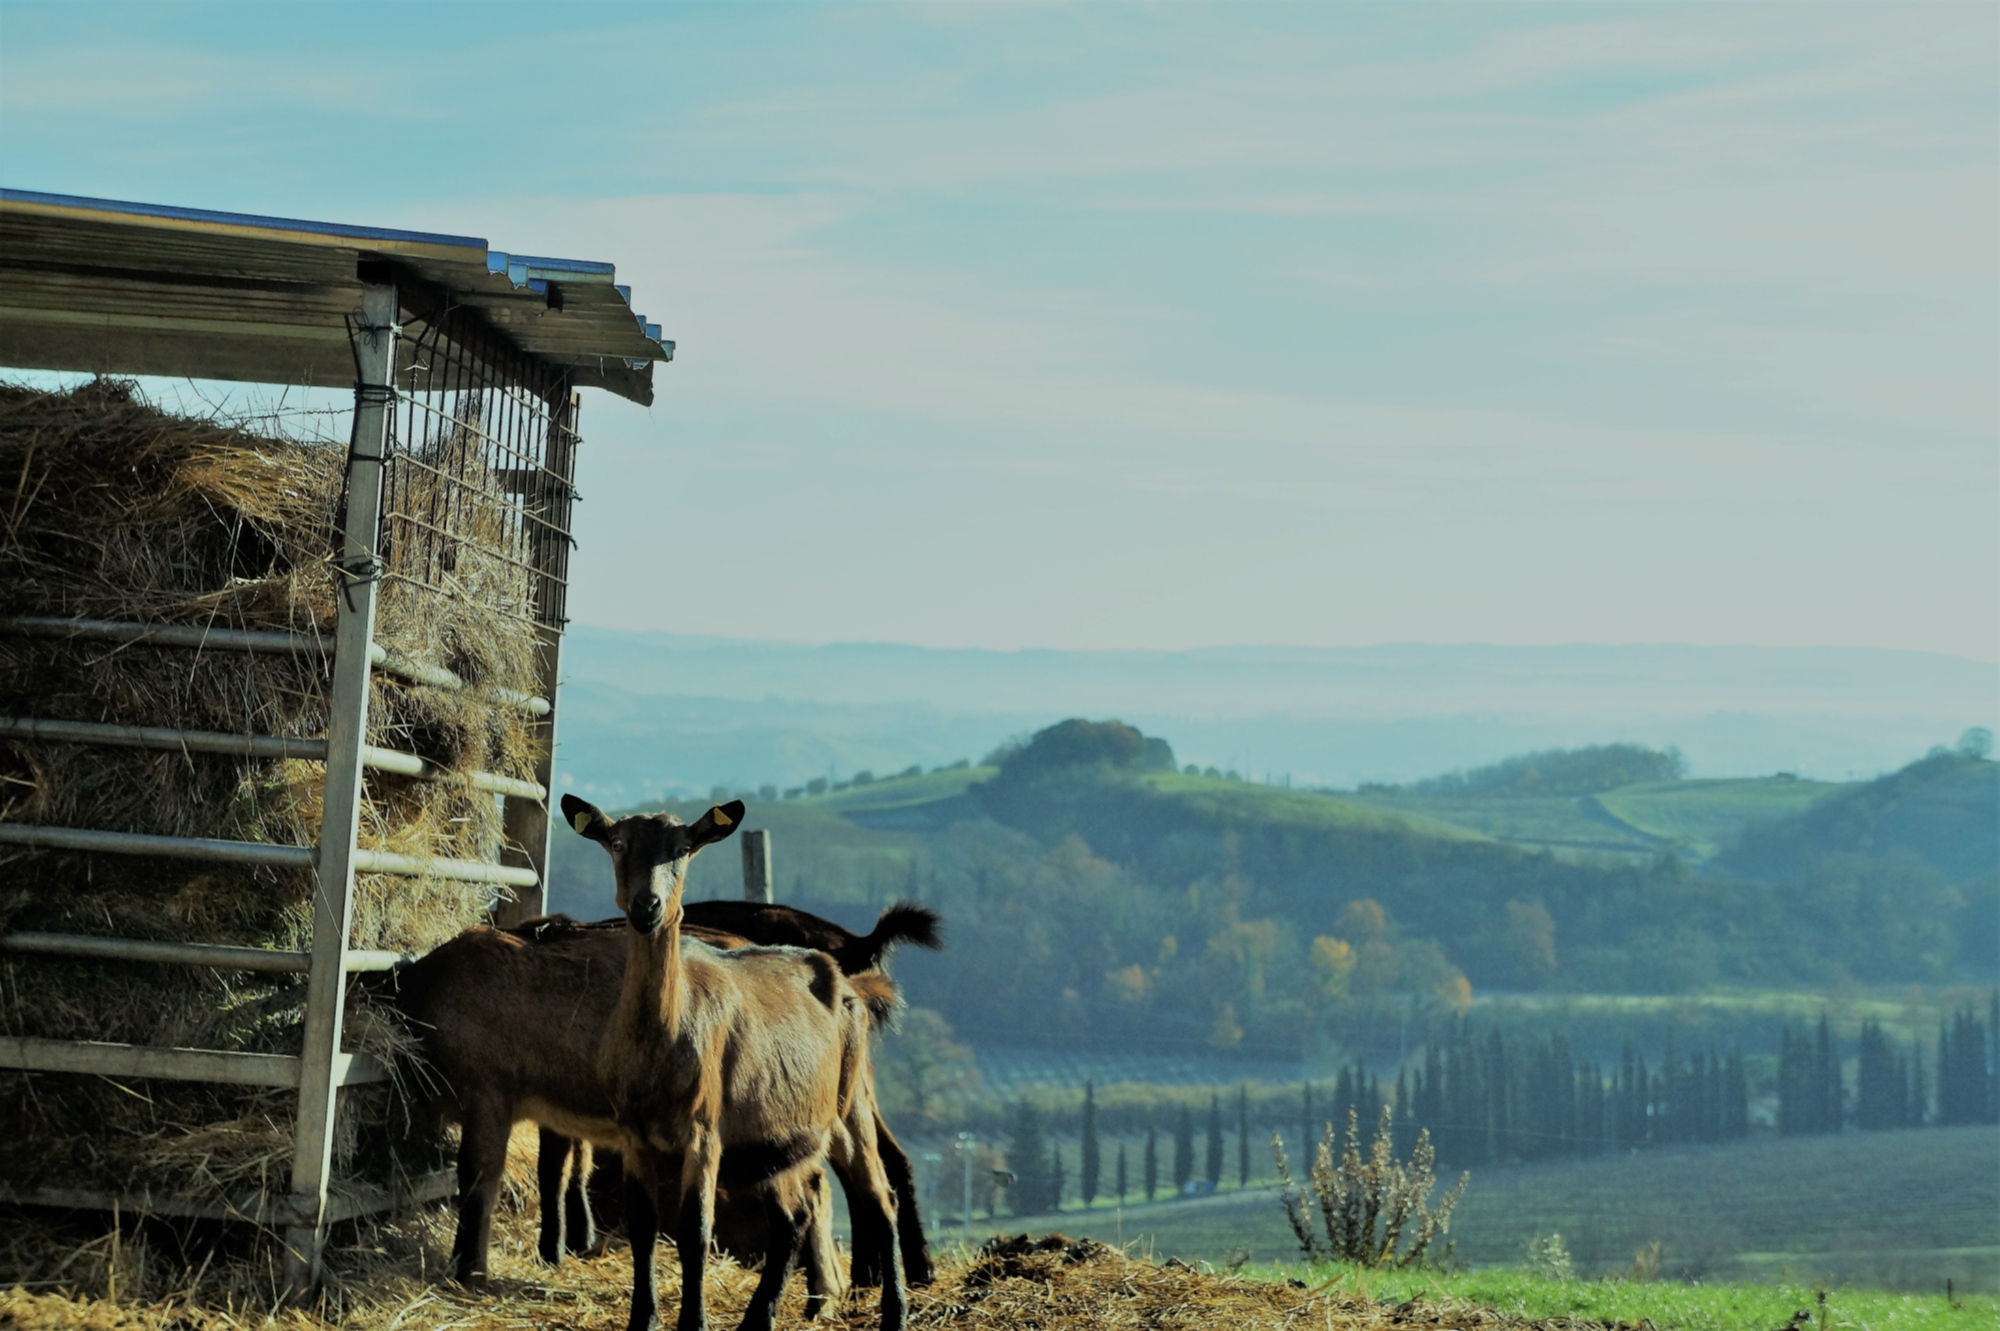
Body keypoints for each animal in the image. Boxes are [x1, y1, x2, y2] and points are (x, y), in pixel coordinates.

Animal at [564, 791, 908, 1327]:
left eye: (683, 848)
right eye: (617, 843)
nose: (647, 906)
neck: (661, 1040)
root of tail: (849, 981)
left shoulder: (703, 1131)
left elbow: (695, 1229)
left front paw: (694, 1321)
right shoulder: (632, 1134)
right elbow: (643, 1227)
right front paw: (644, 1318)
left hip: (849, 1109)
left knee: (879, 1197)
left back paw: (894, 1313)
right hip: (773, 1136)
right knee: (793, 1218)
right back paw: (758, 1317)